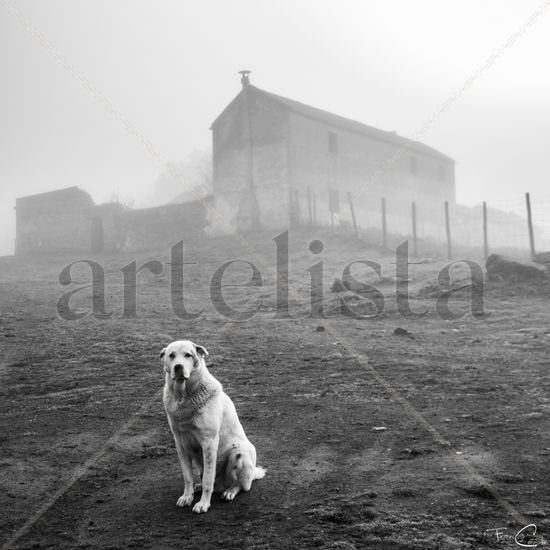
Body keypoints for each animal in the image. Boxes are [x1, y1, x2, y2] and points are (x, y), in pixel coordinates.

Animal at [161, 338, 266, 516]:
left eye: (188, 355)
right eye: (171, 355)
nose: (178, 367)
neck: (184, 396)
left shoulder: (209, 443)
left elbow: (208, 480)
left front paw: (203, 504)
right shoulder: (180, 444)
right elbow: (187, 477)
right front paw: (187, 497)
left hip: (239, 451)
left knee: (241, 485)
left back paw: (229, 491)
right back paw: (198, 488)